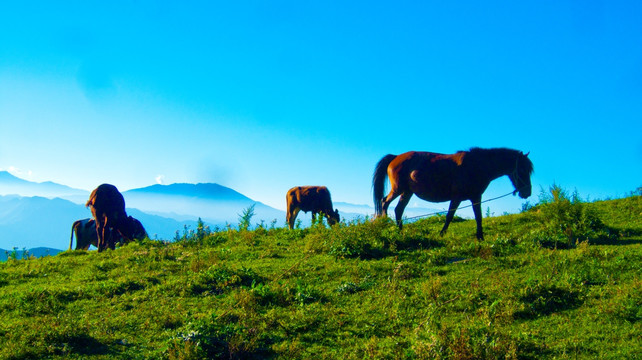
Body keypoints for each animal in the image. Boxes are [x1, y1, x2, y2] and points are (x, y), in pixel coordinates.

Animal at [370, 146, 528, 239]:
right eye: (522, 170)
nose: (527, 192)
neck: (476, 166)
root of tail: (395, 156)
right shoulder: (457, 198)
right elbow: (449, 216)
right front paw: (442, 234)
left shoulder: (476, 197)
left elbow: (478, 216)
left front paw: (480, 237)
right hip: (399, 189)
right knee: (385, 202)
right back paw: (385, 223)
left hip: (407, 192)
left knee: (398, 209)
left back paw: (401, 231)